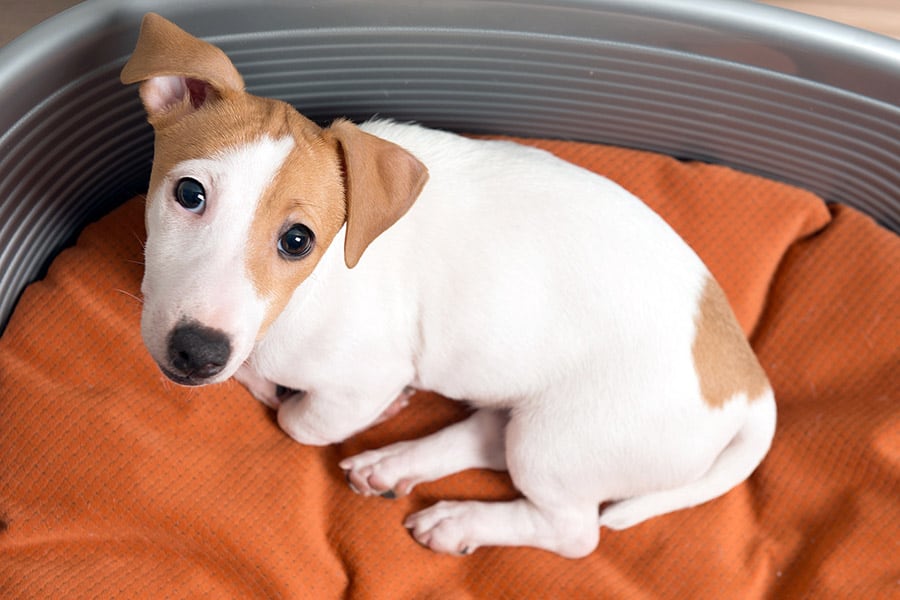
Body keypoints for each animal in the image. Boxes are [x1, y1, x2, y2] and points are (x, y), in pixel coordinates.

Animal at [123, 12, 776, 556]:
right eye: (189, 194)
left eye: (298, 241)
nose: (197, 352)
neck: (307, 292)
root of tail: (751, 387)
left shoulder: (361, 378)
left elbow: (298, 421)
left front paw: (349, 404)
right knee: (493, 433)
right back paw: (398, 466)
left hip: (563, 439)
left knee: (573, 531)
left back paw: (461, 520)